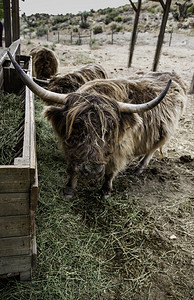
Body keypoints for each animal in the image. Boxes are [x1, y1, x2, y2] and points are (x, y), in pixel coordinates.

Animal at [7, 51, 186, 199]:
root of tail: (173, 75)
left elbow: (110, 172)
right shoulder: (70, 147)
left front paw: (105, 191)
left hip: (166, 131)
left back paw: (140, 167)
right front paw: (69, 190)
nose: (92, 170)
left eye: (110, 130)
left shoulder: (119, 150)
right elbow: (72, 169)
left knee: (153, 149)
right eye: (77, 127)